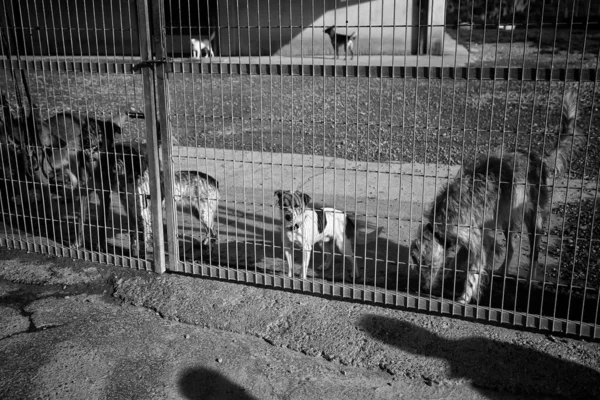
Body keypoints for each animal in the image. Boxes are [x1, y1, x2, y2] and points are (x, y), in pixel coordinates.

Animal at [412, 90, 584, 304]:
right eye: (416, 263)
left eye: (426, 263)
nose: (421, 288)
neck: (440, 222)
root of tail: (539, 160)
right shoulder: (477, 237)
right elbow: (460, 260)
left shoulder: (477, 241)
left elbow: (473, 272)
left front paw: (464, 296)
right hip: (506, 219)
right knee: (511, 248)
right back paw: (502, 271)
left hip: (533, 219)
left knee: (534, 252)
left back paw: (529, 280)